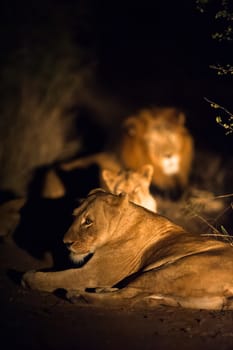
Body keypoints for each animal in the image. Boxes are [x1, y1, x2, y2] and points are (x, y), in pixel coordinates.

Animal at [22, 189, 233, 308]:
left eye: (88, 221)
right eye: (74, 216)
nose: (66, 242)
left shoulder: (93, 273)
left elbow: (56, 278)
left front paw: (29, 278)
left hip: (170, 269)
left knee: (126, 297)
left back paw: (79, 296)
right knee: (136, 294)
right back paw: (102, 291)